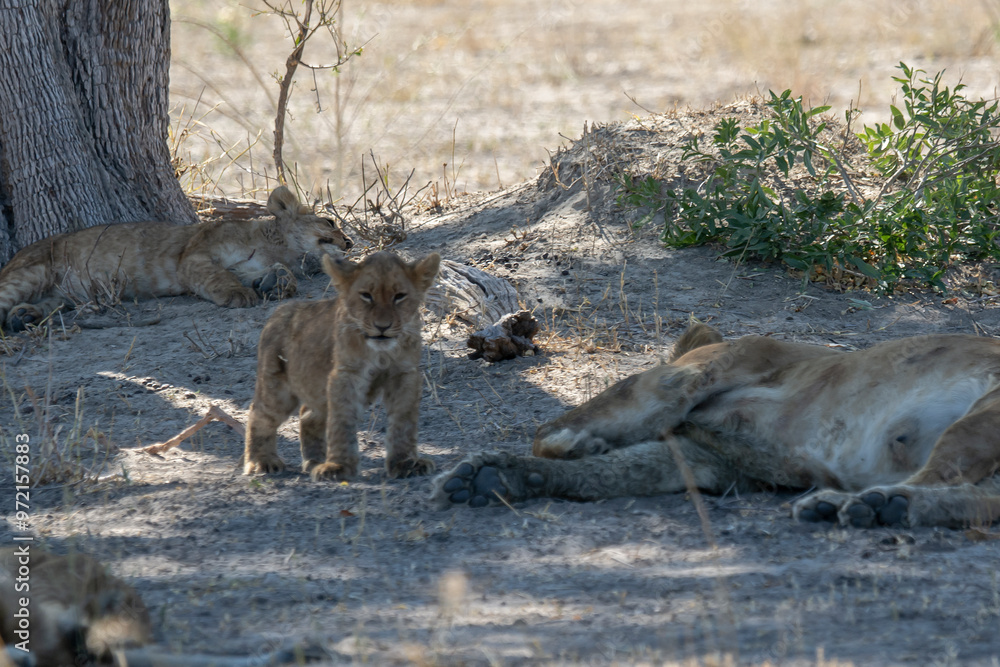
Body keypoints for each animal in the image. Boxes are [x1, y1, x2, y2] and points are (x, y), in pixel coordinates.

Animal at [0, 186, 353, 331]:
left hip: (61, 295)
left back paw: (24, 317)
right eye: (330, 222)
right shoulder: (194, 254)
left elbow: (275, 276)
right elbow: (218, 277)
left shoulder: (249, 266)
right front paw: (240, 295)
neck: (275, 246)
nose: (349, 243)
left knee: (48, 303)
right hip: (33, 271)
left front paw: (278, 283)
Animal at [244, 250, 441, 481]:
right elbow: (342, 420)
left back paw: (313, 462)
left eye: (399, 296)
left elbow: (403, 420)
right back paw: (262, 461)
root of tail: (278, 311)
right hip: (277, 388)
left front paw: (406, 463)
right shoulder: (346, 374)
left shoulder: (404, 374)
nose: (382, 327)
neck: (381, 353)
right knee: (259, 414)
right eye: (366, 295)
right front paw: (339, 467)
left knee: (307, 414)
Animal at [431, 324, 1000, 529]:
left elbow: (563, 427)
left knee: (943, 475)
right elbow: (608, 472)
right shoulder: (711, 458)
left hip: (985, 410)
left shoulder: (694, 371)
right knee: (979, 498)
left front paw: (573, 444)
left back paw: (861, 503)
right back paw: (878, 508)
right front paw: (492, 478)